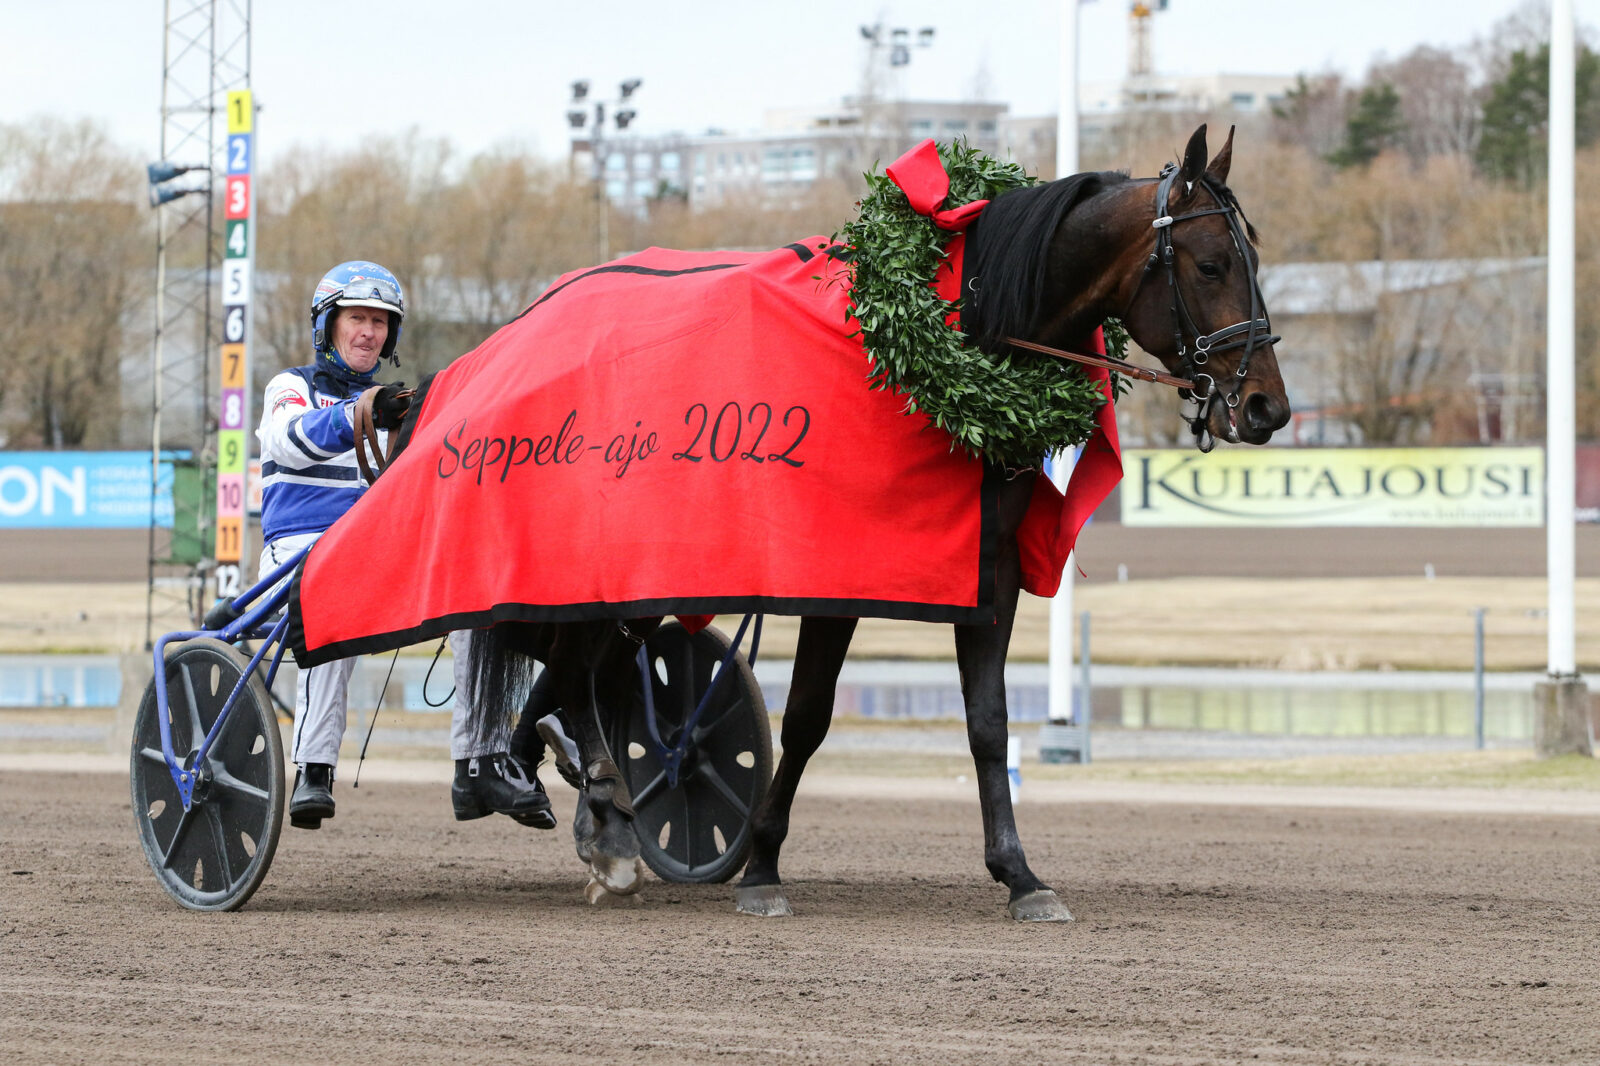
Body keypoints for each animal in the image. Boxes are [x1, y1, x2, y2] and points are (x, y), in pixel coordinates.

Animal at [387, 124, 1286, 915]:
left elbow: (989, 724)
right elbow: (809, 717)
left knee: (578, 675)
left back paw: (584, 796)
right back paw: (590, 802)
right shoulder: (832, 571)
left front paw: (1020, 875)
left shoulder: (987, 568)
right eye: (1211, 263)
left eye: (1256, 258)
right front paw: (762, 865)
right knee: (572, 670)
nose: (1266, 406)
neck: (943, 352)